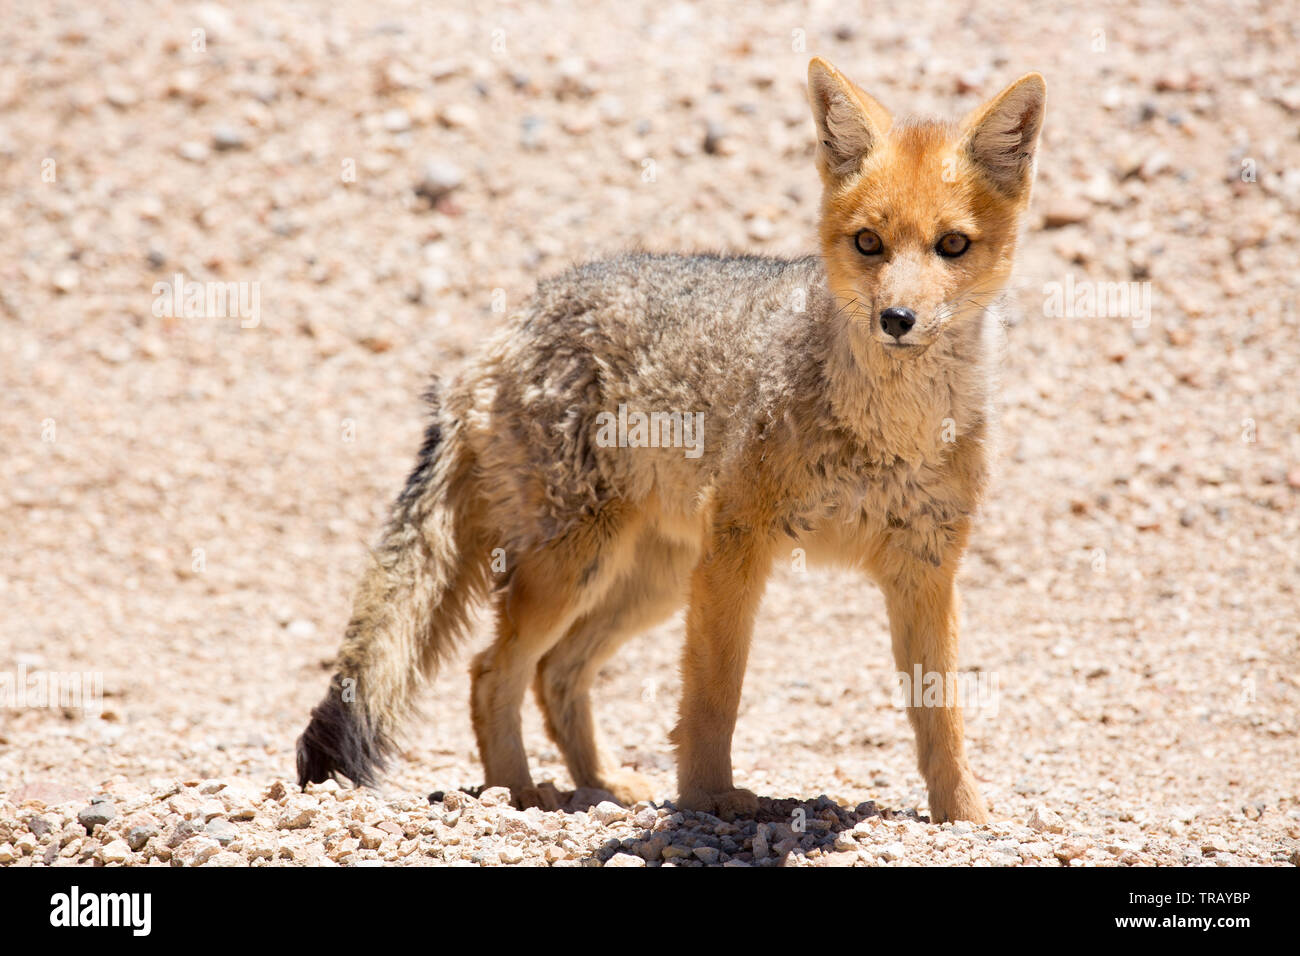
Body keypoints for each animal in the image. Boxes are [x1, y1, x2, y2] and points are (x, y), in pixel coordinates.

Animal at [297, 57, 1045, 824]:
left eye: (951, 245)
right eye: (869, 243)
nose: (897, 318)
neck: (890, 431)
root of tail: (513, 322)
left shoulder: (927, 566)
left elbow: (941, 713)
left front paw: (964, 815)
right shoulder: (737, 546)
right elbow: (714, 694)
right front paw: (711, 798)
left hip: (646, 581)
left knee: (555, 673)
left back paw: (599, 784)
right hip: (576, 567)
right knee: (491, 671)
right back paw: (520, 792)